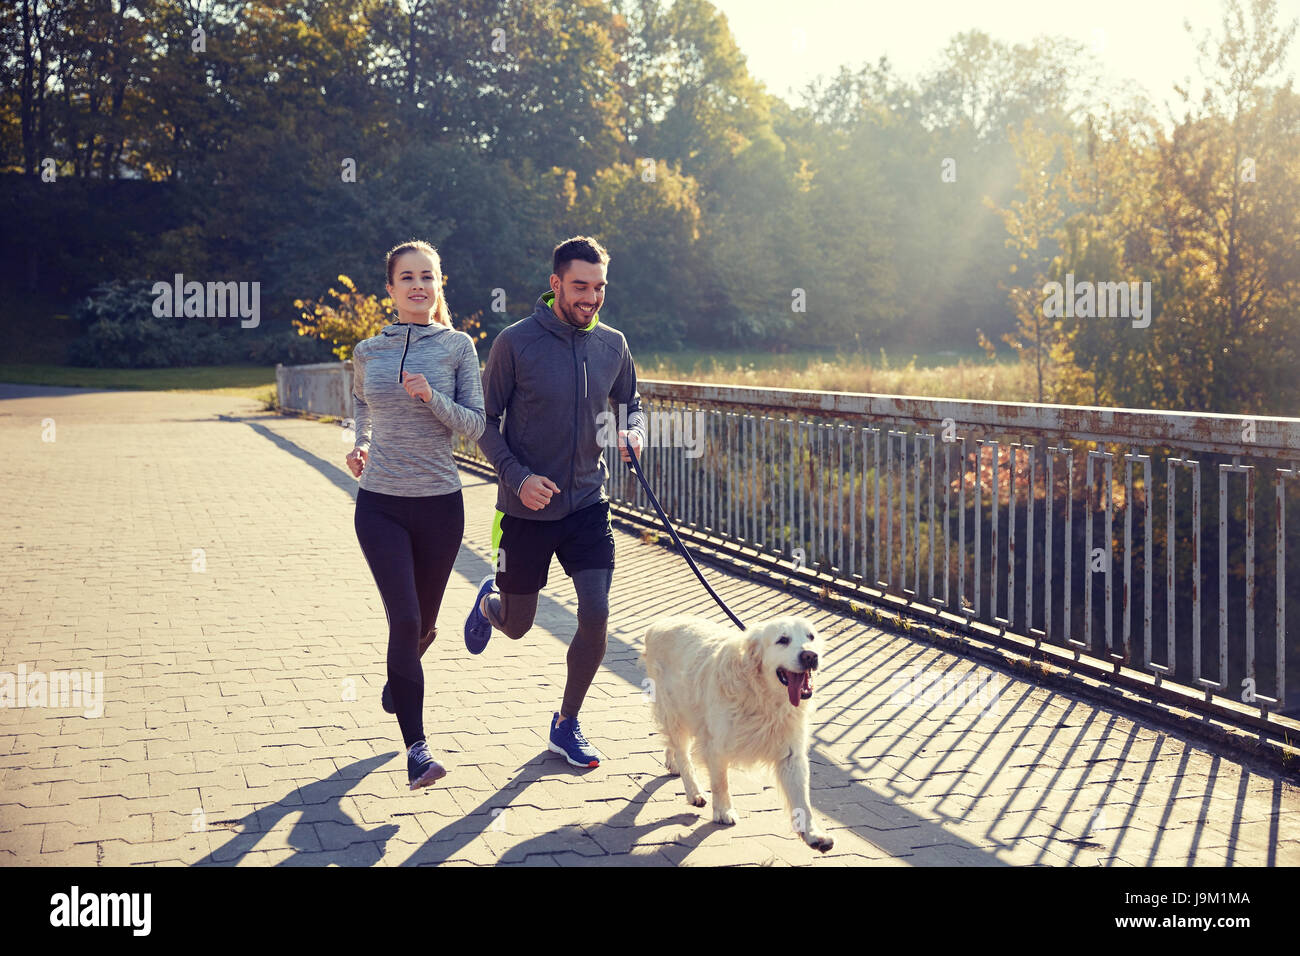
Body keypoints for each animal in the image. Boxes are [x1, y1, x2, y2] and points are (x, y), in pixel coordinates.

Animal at [639, 621, 832, 853]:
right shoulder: (716, 746)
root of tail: (659, 623)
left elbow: (802, 799)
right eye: (782, 640)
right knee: (683, 753)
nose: (810, 656)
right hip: (675, 711)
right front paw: (723, 812)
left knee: (674, 747)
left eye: (810, 636)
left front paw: (813, 834)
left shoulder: (791, 754)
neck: (765, 698)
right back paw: (694, 792)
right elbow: (721, 783)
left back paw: (672, 763)